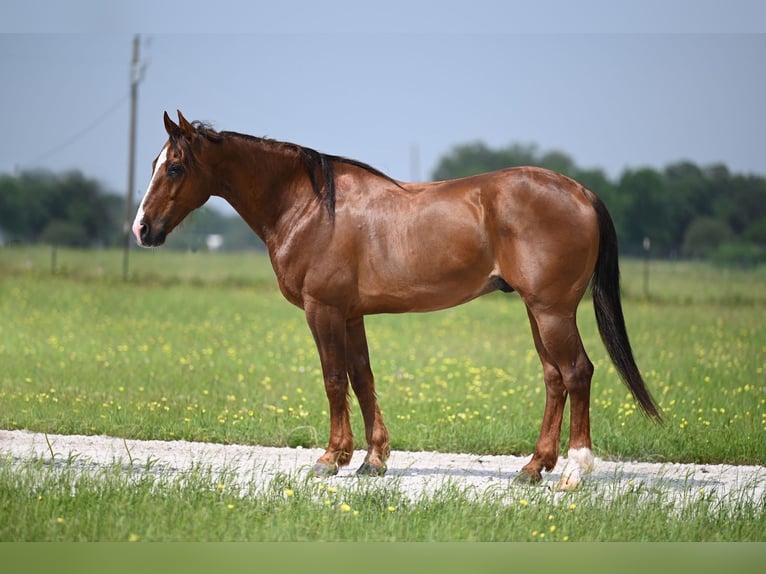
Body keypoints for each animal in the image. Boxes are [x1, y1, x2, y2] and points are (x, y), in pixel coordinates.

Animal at [132, 111, 660, 490]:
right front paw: (373, 459)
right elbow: (362, 379)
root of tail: (581, 191)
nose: (142, 229)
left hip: (552, 311)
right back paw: (532, 469)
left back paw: (574, 471)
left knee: (577, 372)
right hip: (537, 310)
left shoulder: (323, 310)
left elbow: (333, 380)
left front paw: (331, 459)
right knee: (554, 378)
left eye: (174, 166)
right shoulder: (351, 315)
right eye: (155, 164)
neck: (310, 207)